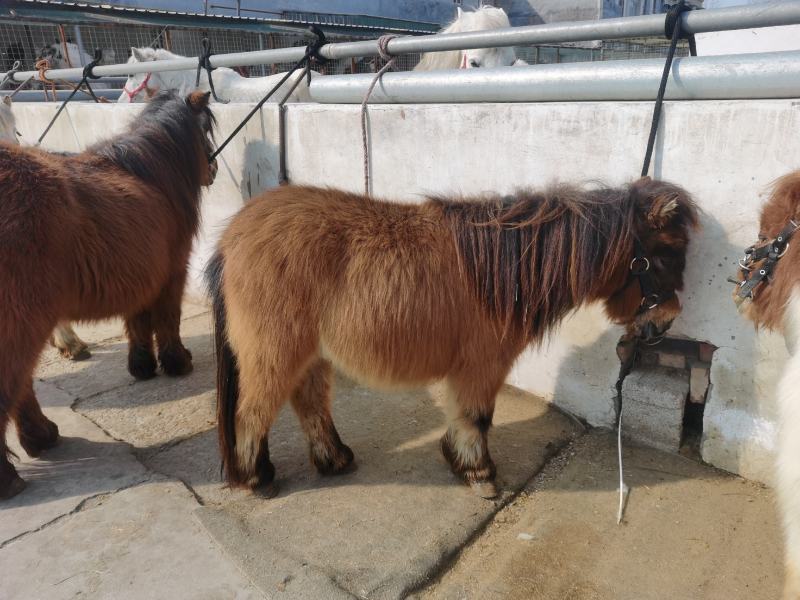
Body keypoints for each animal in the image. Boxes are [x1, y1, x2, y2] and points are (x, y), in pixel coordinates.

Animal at [206, 178, 698, 498]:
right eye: (665, 254)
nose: (665, 322)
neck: (502, 269)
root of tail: (233, 235)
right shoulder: (482, 366)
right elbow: (476, 417)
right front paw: (479, 473)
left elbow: (465, 414)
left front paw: (459, 461)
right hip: (274, 353)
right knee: (252, 412)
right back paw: (255, 479)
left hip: (308, 354)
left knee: (309, 403)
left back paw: (334, 460)